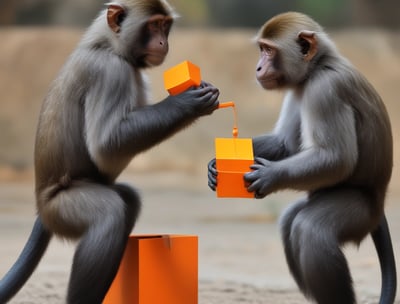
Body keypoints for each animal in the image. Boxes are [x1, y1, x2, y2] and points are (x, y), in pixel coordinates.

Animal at [0, 1, 220, 302]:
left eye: (165, 26)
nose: (164, 42)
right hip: (60, 208)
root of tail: (41, 207)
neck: (108, 46)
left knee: (127, 200)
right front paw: (188, 103)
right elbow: (106, 145)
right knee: (109, 214)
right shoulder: (110, 72)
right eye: (153, 25)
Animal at [208, 11, 396, 304]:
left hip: (360, 209)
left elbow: (338, 158)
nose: (258, 68)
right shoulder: (298, 88)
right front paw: (214, 166)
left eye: (268, 50)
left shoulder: (324, 90)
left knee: (309, 229)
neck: (317, 67)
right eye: (261, 49)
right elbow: (285, 144)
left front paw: (269, 175)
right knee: (290, 221)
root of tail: (378, 204)